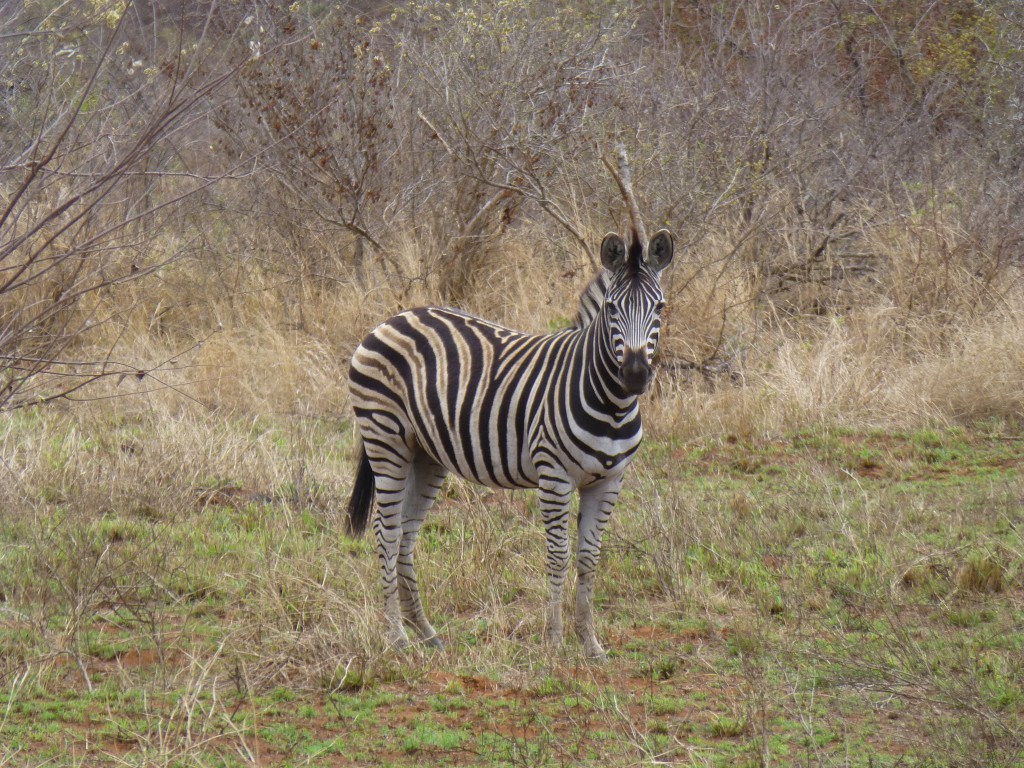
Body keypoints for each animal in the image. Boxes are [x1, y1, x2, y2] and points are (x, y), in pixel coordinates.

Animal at [348, 228, 675, 663]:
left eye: (659, 306)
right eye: (611, 308)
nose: (636, 375)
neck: (612, 405)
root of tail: (392, 319)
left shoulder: (609, 481)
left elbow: (589, 558)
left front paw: (591, 644)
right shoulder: (554, 476)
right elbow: (559, 555)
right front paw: (555, 642)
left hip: (425, 454)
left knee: (405, 533)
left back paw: (426, 633)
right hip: (386, 440)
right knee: (387, 532)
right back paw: (397, 637)